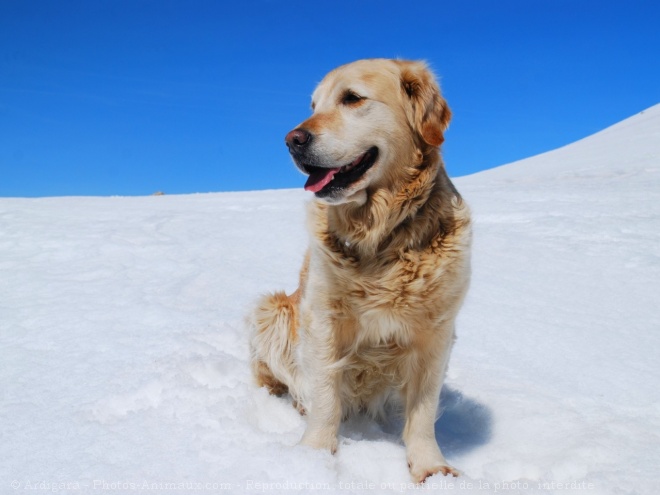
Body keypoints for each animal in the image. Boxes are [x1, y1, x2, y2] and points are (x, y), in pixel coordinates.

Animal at [246, 57, 470, 480]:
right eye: (313, 105)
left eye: (352, 98)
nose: (292, 139)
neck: (380, 236)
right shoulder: (322, 320)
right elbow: (325, 397)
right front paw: (313, 457)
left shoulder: (437, 332)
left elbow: (423, 412)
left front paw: (430, 468)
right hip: (272, 309)